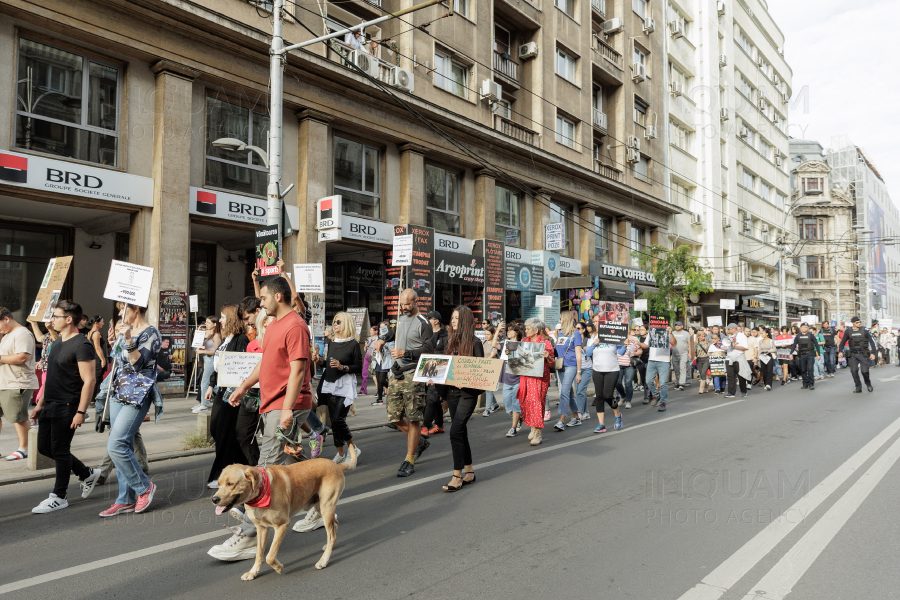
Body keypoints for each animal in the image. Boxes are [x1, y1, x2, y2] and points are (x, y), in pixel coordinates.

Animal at [213, 446, 356, 580]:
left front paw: (278, 567)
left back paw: (323, 560)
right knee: (334, 527)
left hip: (326, 507)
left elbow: (270, 556)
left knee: (331, 535)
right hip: (320, 507)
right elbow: (259, 554)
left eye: (230, 483)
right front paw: (253, 572)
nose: (214, 499)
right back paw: (328, 547)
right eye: (218, 484)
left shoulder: (282, 525)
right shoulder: (261, 528)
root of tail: (336, 465)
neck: (260, 493)